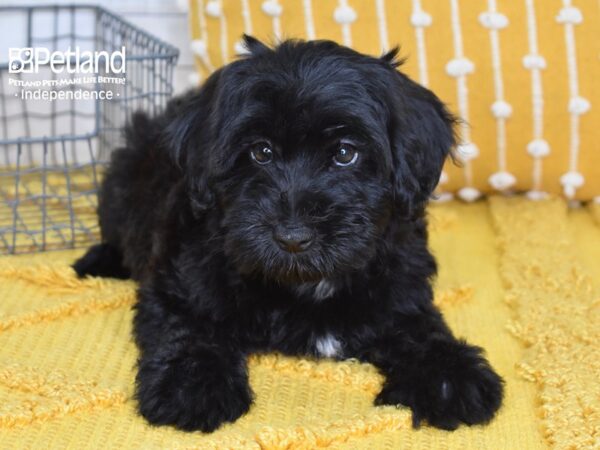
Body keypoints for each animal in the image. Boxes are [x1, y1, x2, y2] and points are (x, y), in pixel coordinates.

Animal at [77, 36, 504, 432]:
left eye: (345, 153)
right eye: (261, 152)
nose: (293, 236)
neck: (305, 284)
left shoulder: (402, 291)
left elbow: (422, 329)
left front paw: (451, 377)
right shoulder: (178, 282)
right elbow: (189, 326)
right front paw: (192, 385)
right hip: (121, 182)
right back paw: (98, 261)